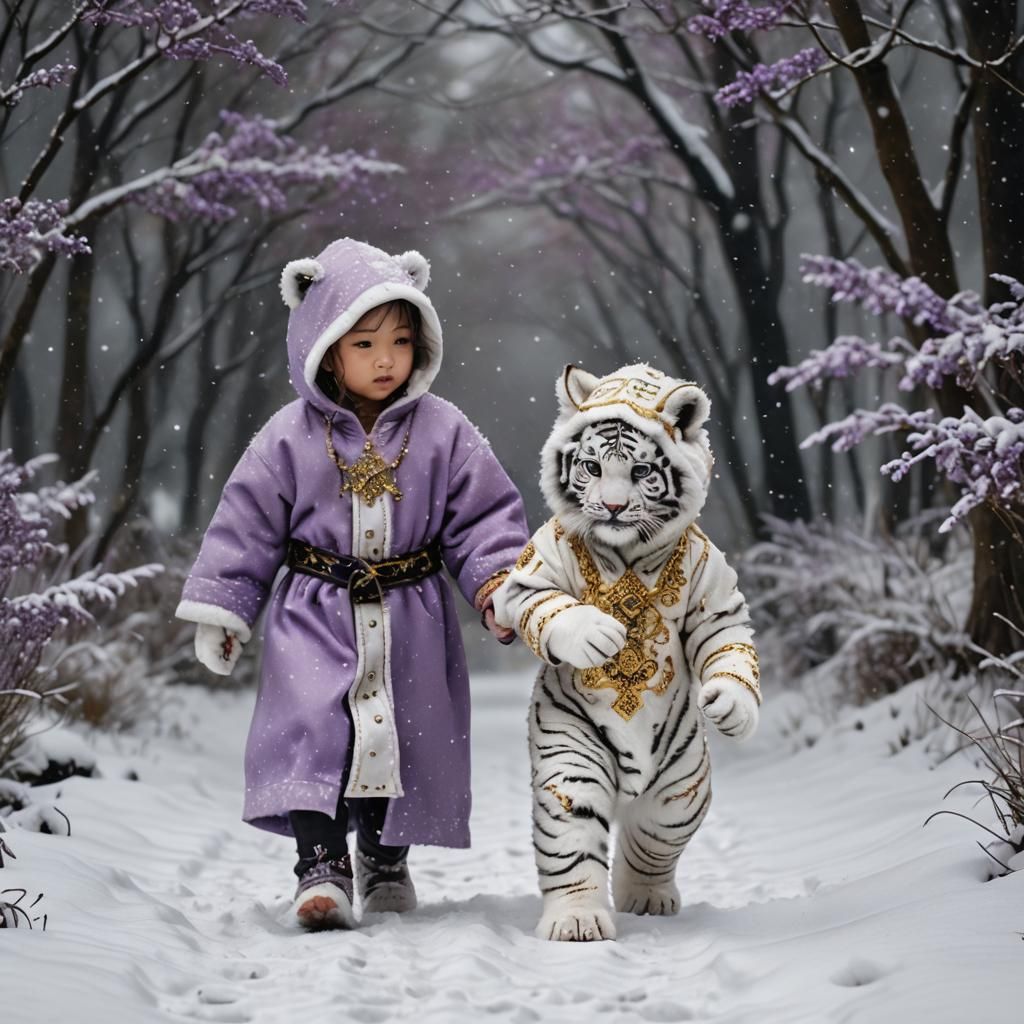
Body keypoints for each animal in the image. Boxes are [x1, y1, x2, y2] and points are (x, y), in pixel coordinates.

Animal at [492, 362, 761, 942]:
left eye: (640, 472)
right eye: (592, 466)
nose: (613, 506)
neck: (628, 550)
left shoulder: (709, 582)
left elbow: (723, 636)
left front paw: (730, 705)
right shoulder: (536, 567)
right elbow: (543, 602)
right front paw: (598, 634)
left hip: (680, 789)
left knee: (652, 843)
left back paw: (646, 898)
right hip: (573, 759)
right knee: (574, 837)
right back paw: (577, 919)